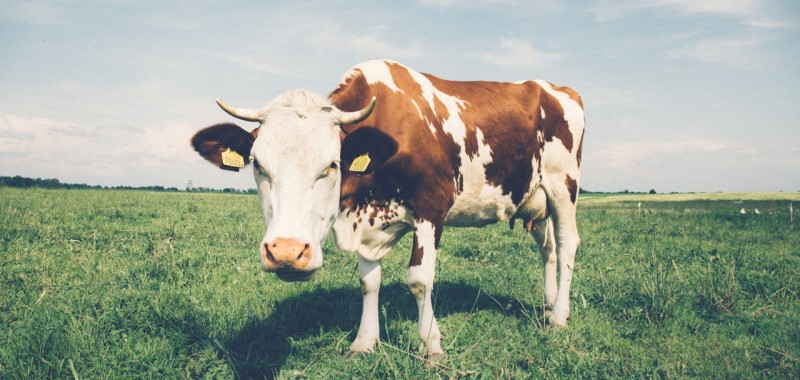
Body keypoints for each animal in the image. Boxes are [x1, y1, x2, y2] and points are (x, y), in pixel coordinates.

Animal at [191, 59, 584, 362]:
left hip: (564, 185)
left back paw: (560, 316)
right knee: (548, 249)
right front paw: (364, 342)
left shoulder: (431, 207)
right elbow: (369, 281)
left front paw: (430, 346)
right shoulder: (363, 222)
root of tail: (554, 87)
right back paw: (548, 307)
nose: (287, 252)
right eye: (257, 165)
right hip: (535, 200)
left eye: (332, 165)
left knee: (567, 245)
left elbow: (420, 279)